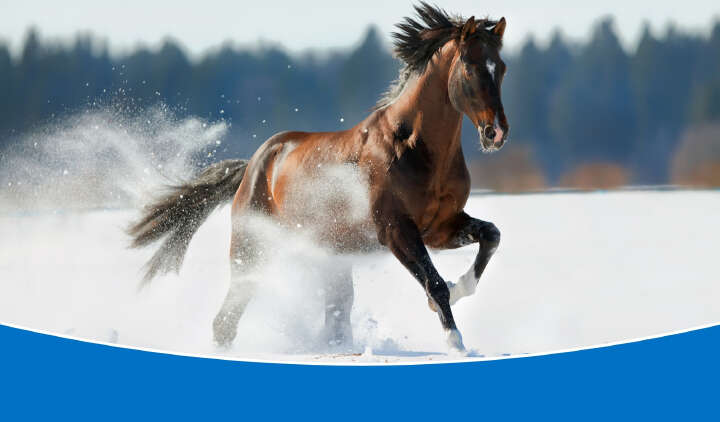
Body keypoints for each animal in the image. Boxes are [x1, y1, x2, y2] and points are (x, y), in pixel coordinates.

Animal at [127, 2, 509, 353]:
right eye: (470, 67)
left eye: (501, 67)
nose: (496, 133)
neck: (412, 147)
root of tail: (253, 166)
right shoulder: (396, 230)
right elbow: (434, 283)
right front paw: (455, 341)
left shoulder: (440, 227)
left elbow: (491, 235)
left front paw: (461, 290)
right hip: (253, 250)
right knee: (227, 319)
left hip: (330, 257)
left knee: (333, 314)